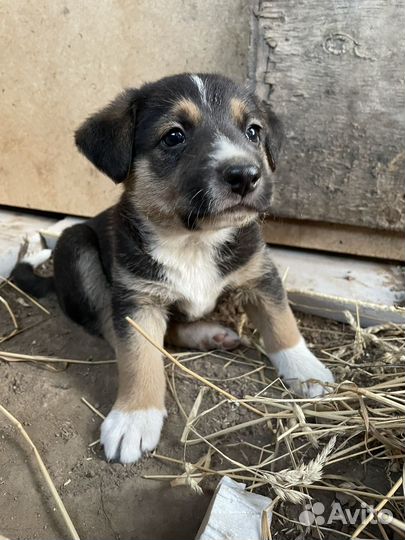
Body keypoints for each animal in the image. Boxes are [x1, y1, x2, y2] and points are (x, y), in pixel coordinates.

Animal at [13, 74, 334, 464]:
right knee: (111, 325)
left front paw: (307, 372)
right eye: (174, 136)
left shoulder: (260, 273)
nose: (245, 175)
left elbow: (282, 324)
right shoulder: (136, 300)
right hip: (77, 245)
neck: (192, 240)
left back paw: (211, 334)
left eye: (253, 132)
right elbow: (139, 356)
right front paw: (134, 418)